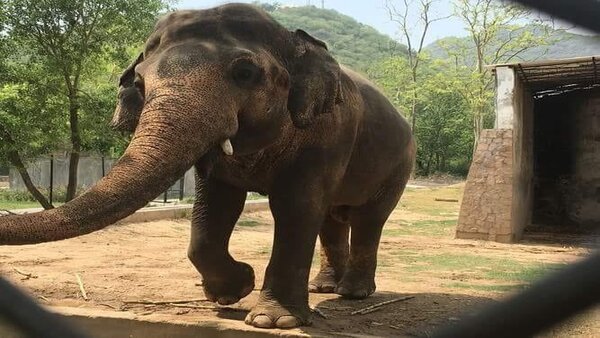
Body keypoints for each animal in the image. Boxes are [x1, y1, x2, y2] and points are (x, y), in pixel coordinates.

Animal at [0, 3, 412, 330]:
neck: (292, 38)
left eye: (245, 73)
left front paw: (271, 320)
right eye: (139, 82)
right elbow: (214, 207)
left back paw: (352, 293)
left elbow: (296, 208)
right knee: (332, 219)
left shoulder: (327, 136)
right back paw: (324, 287)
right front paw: (233, 291)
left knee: (367, 220)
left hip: (400, 164)